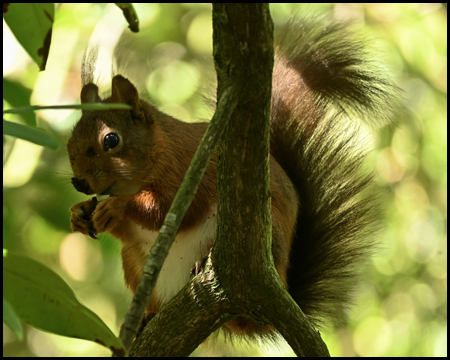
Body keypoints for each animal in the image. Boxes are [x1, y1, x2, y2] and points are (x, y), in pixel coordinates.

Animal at [67, 17, 400, 338]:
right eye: (71, 137)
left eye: (111, 140)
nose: (79, 183)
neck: (158, 149)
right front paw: (80, 213)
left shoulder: (189, 165)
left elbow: (169, 209)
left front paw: (116, 207)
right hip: (135, 264)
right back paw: (148, 318)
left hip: (264, 239)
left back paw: (203, 266)